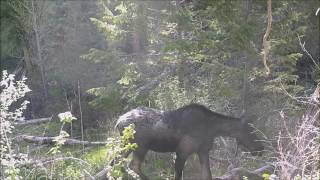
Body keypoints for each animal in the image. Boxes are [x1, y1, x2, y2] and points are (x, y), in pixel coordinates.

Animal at [116, 104, 264, 180]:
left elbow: (207, 175)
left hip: (125, 146)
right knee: (133, 165)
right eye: (251, 131)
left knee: (116, 162)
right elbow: (178, 175)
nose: (261, 149)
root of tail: (118, 122)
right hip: (140, 146)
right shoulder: (182, 151)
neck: (212, 129)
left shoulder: (203, 151)